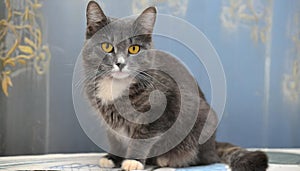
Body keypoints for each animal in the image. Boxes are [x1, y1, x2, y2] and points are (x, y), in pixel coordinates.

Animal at [81, 0, 268, 170]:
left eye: (134, 49)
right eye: (107, 46)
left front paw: (133, 161)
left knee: (204, 158)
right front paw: (112, 158)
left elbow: (143, 138)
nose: (120, 63)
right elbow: (115, 138)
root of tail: (214, 144)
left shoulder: (162, 110)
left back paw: (165, 159)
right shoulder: (109, 121)